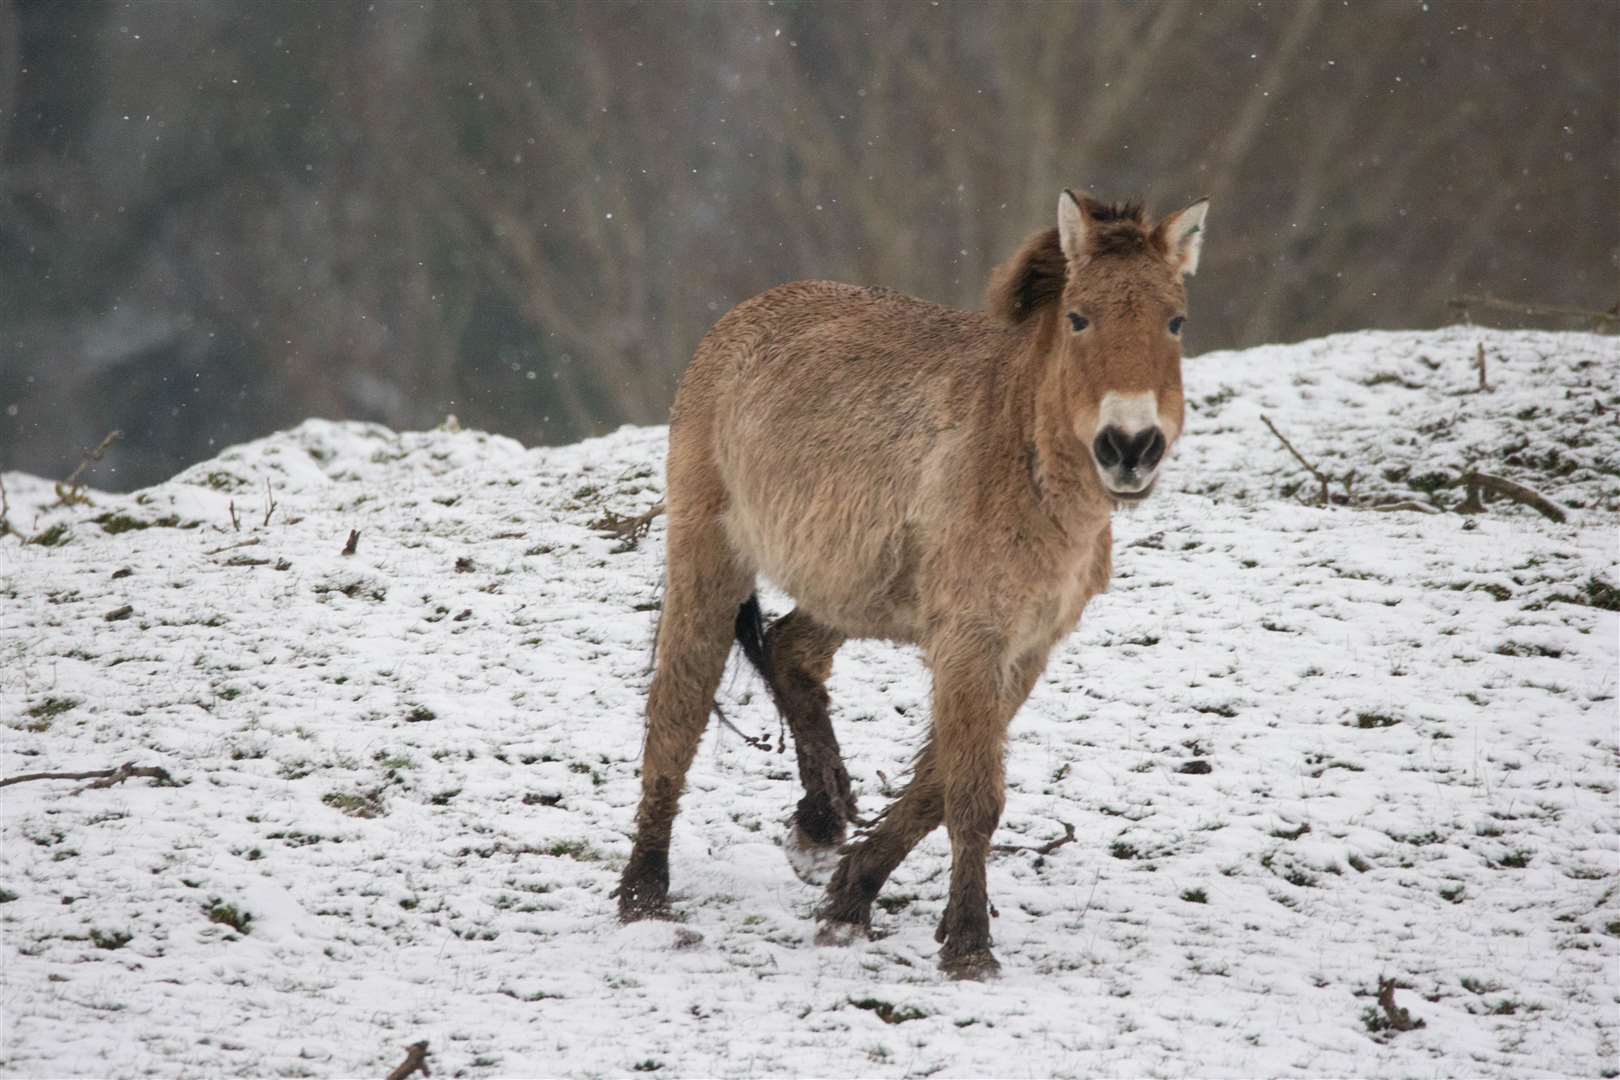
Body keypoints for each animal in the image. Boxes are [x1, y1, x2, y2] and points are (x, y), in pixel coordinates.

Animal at [615, 191, 1205, 977]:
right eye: (1080, 317)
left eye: (1175, 321)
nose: (1130, 447)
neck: (1020, 457)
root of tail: (740, 316)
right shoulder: (971, 639)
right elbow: (972, 797)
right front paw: (968, 948)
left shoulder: (1022, 647)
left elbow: (936, 787)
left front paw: (850, 897)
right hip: (708, 555)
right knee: (678, 707)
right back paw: (645, 897)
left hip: (847, 587)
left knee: (789, 649)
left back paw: (819, 822)